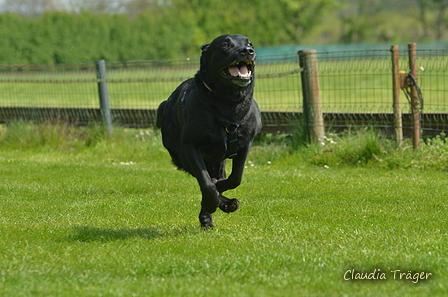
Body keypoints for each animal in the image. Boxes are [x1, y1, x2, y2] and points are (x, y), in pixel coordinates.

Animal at [157, 34, 262, 227]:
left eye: (249, 43)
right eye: (225, 45)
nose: (247, 51)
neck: (228, 103)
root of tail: (166, 103)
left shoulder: (245, 144)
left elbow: (236, 178)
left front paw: (220, 192)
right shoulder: (190, 146)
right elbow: (206, 183)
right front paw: (212, 201)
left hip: (218, 161)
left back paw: (214, 211)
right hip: (181, 154)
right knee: (203, 179)